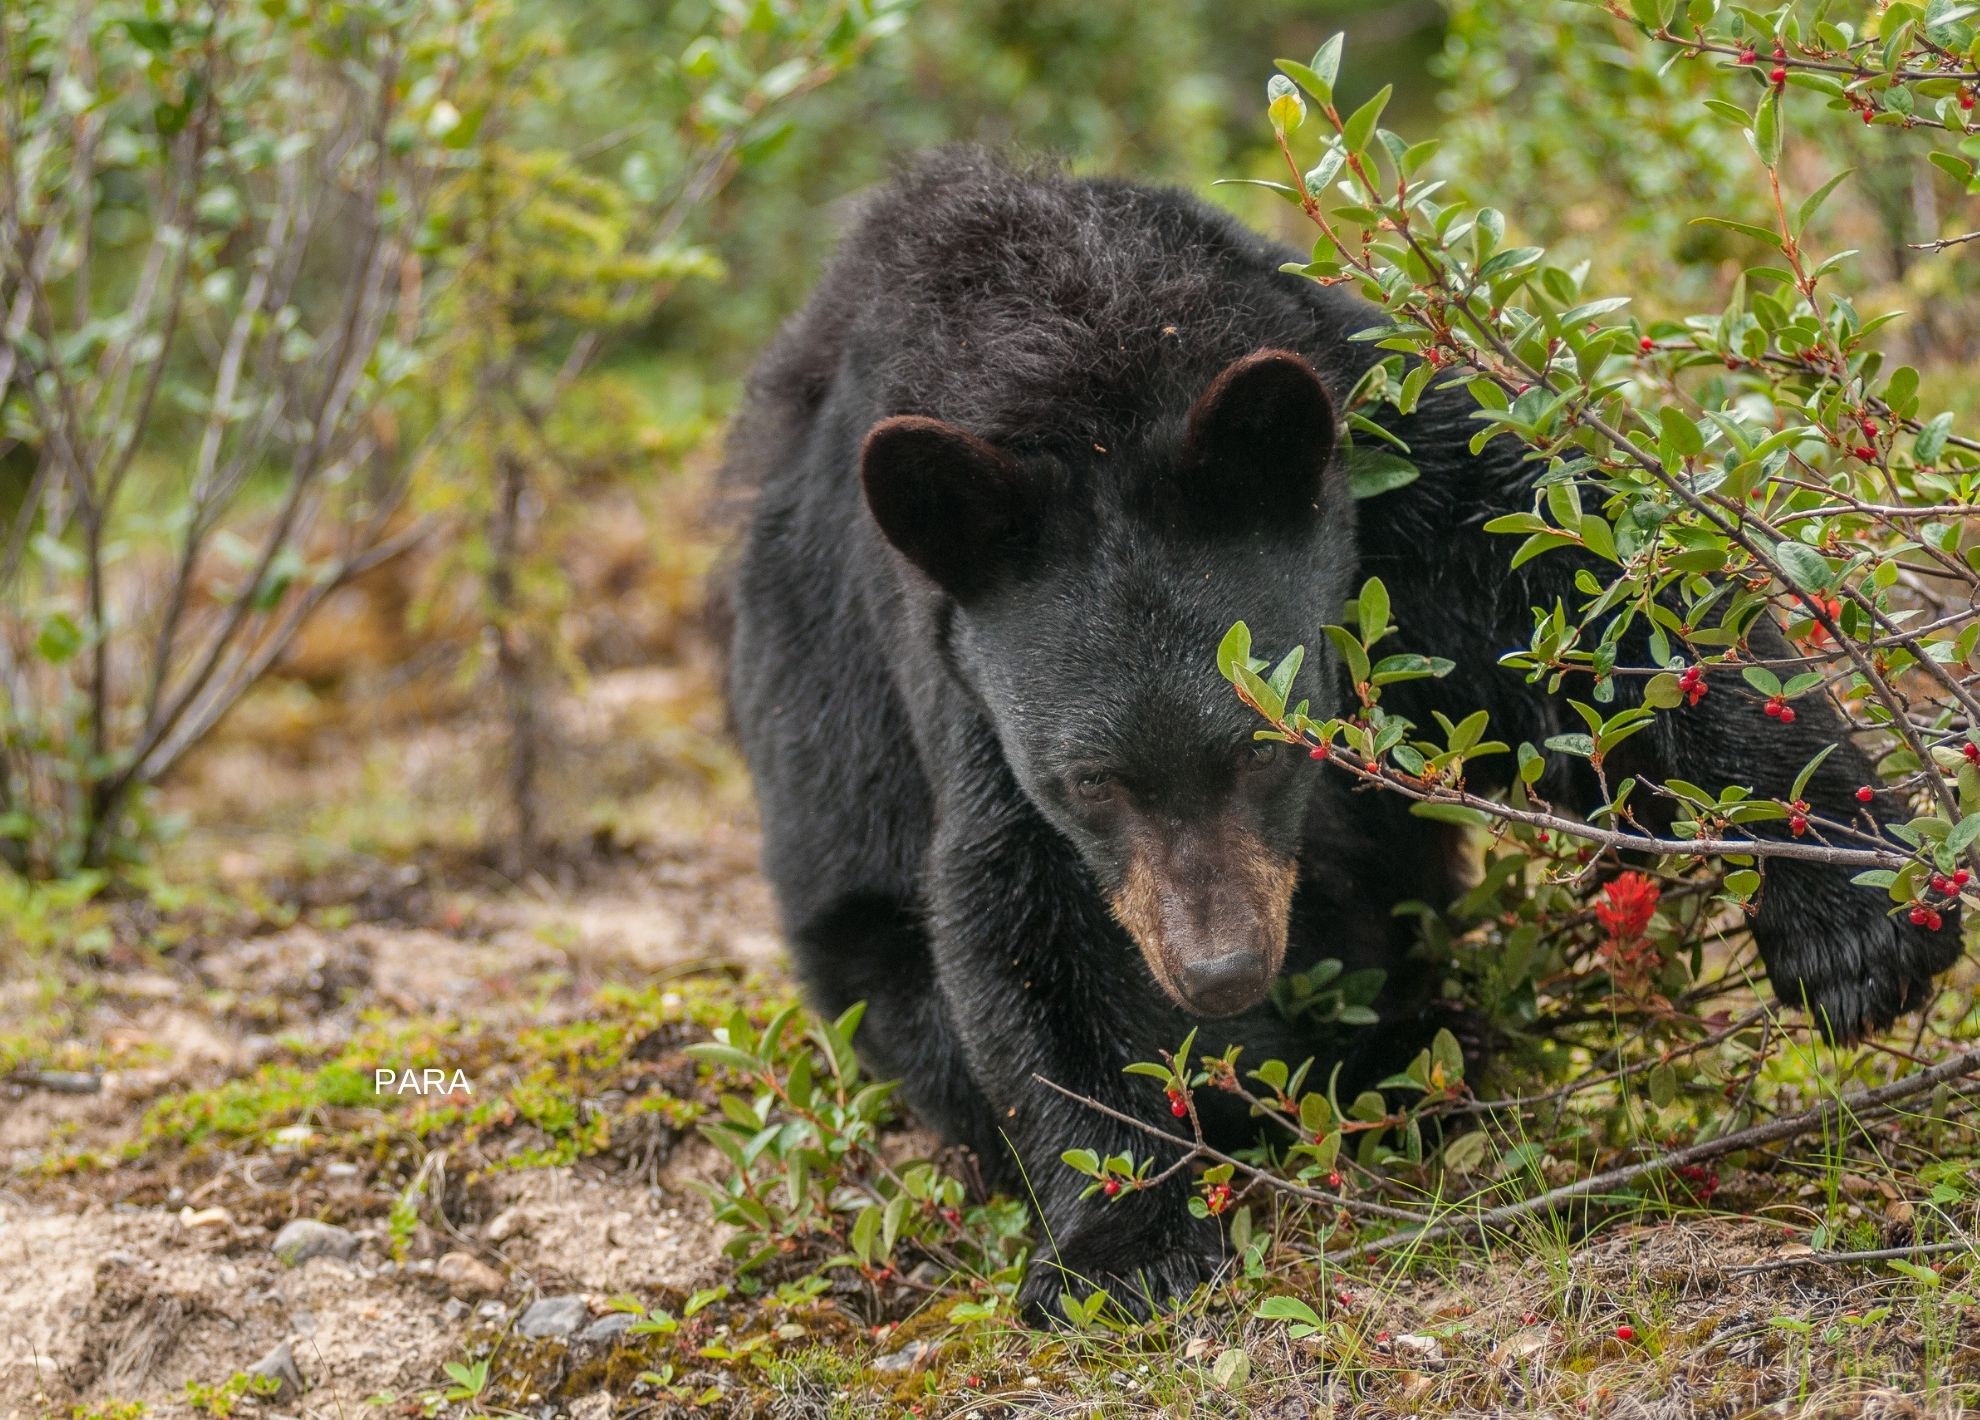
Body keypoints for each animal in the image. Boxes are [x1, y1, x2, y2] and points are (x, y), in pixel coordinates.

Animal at [716, 149, 1964, 1315]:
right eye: (1091, 781)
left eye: (1271, 744)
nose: (1219, 975)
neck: (1080, 361)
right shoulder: (964, 690)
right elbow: (1023, 922)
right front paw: (1123, 1244)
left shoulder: (1380, 454)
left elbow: (1597, 603)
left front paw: (1853, 926)